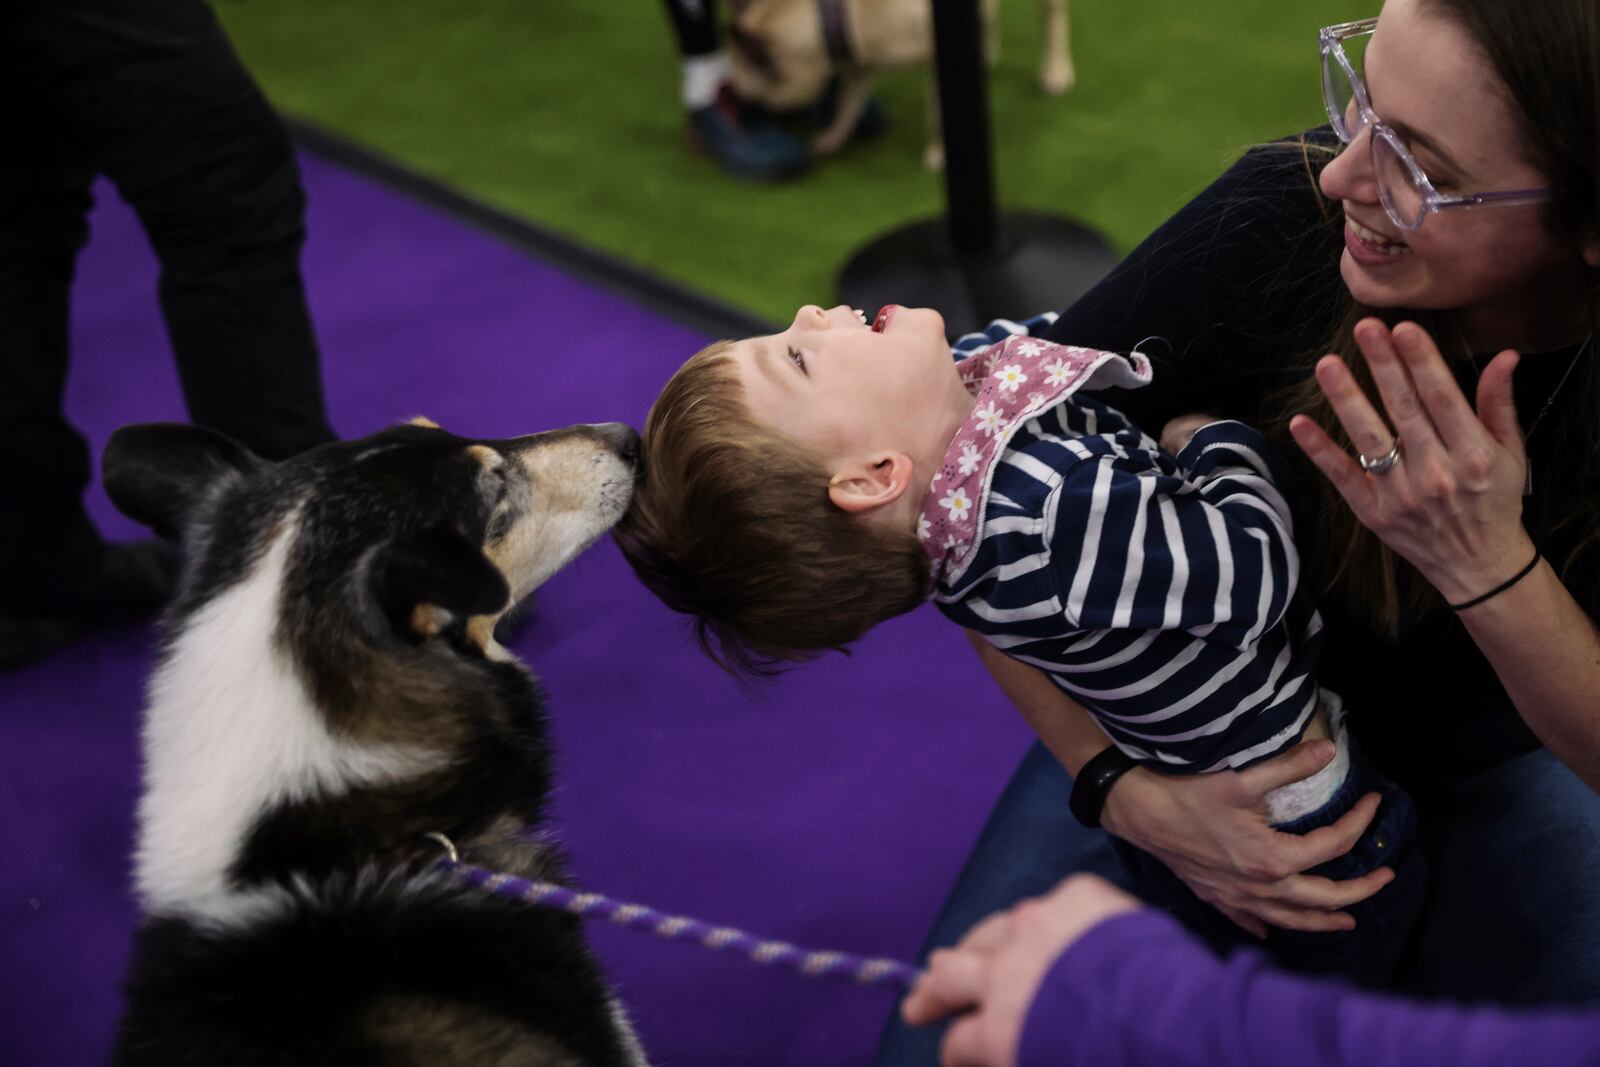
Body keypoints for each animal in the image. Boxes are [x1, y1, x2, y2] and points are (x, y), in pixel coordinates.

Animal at [732, 0, 1068, 167]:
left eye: (751, 100)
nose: (739, 104)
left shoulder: (938, 60)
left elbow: (938, 114)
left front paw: (940, 152)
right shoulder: (860, 59)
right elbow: (848, 101)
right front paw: (833, 135)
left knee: (1053, 15)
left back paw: (1056, 71)